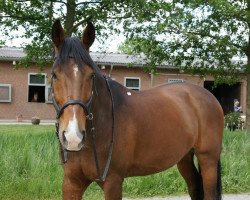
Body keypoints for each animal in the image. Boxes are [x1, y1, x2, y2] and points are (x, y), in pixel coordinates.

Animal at [50, 19, 225, 200]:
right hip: (184, 157)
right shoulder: (72, 183)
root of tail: (208, 96)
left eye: (91, 75)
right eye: (54, 75)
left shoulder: (113, 181)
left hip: (208, 159)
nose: (73, 137)